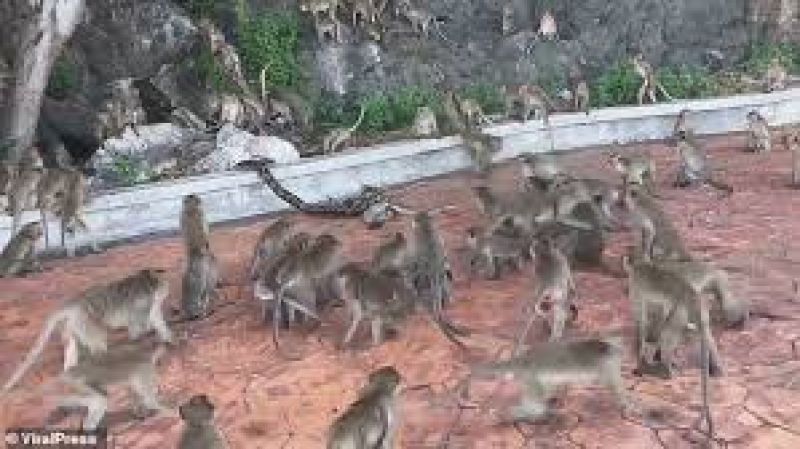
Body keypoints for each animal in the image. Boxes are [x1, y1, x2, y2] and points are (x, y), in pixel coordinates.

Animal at [1, 268, 173, 394]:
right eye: (162, 286)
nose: (166, 291)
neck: (147, 285)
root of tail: (74, 302)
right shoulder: (142, 303)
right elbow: (136, 328)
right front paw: (143, 345)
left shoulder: (152, 304)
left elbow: (156, 319)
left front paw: (168, 340)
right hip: (84, 319)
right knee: (98, 343)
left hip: (71, 322)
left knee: (71, 343)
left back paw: (71, 374)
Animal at [466, 335, 632, 423]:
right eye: (620, 350)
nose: (623, 352)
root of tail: (523, 360)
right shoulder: (607, 365)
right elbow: (615, 388)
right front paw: (628, 404)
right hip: (530, 377)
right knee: (537, 407)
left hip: (529, 377)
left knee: (547, 388)